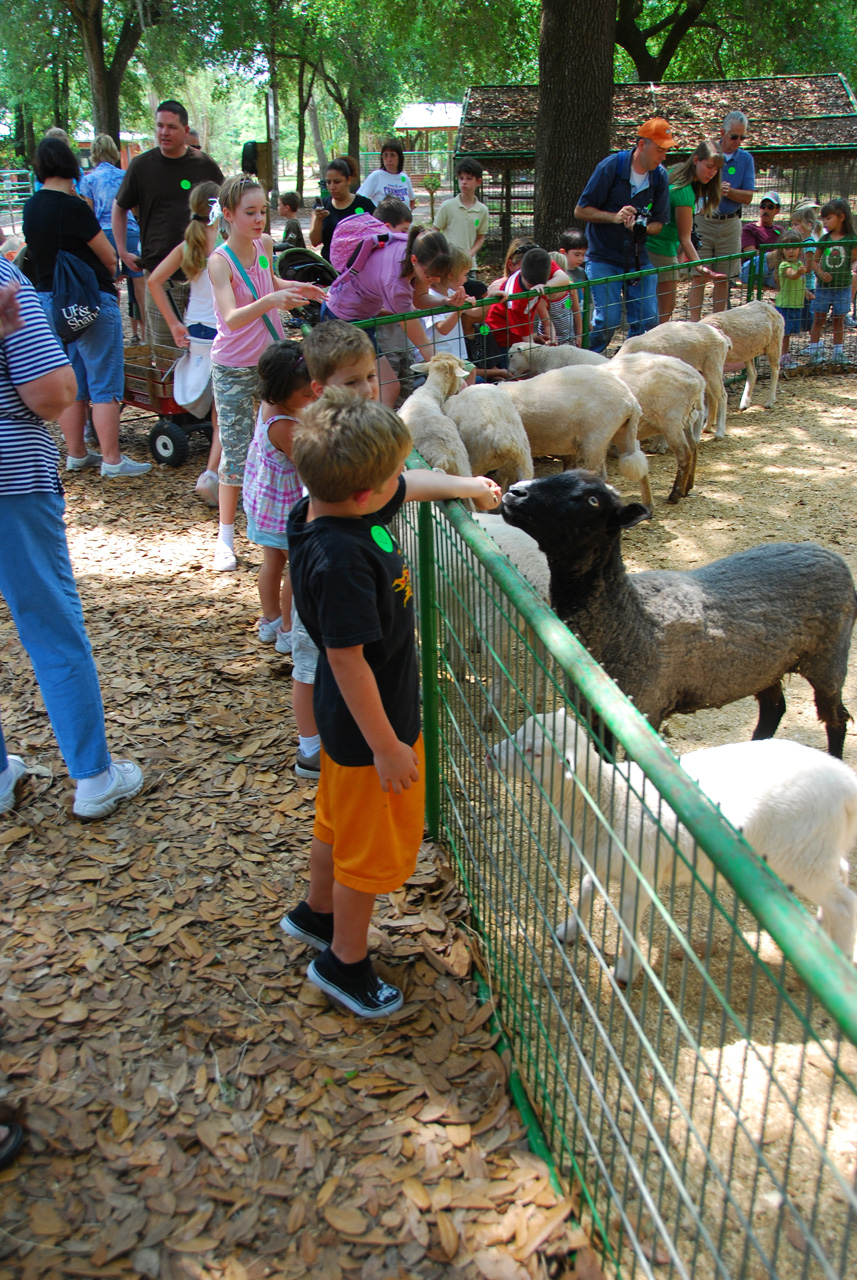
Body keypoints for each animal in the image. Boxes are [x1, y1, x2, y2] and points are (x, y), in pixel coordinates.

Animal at [463, 366, 652, 504]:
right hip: (623, 430)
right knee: (638, 460)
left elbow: (504, 476)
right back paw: (648, 506)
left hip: (596, 437)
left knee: (599, 474)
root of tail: (630, 400)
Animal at [493, 706, 857, 983]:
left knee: (844, 902)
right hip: (820, 847)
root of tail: (845, 782)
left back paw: (837, 959)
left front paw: (624, 972)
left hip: (801, 853)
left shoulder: (640, 878)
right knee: (841, 872)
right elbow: (583, 892)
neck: (609, 801)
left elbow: (627, 926)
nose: (490, 755)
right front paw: (566, 930)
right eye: (522, 728)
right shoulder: (601, 862)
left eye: (535, 752)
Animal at [501, 471, 854, 752]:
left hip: (828, 658)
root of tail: (824, 552)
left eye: (592, 500)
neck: (628, 622)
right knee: (774, 709)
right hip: (767, 665)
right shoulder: (598, 717)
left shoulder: (647, 710)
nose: (514, 492)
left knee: (837, 718)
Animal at [603, 355, 706, 509]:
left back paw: (675, 494)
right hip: (684, 418)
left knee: (684, 453)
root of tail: (697, 379)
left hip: (671, 419)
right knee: (693, 447)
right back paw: (687, 487)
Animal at [706, 296, 787, 432]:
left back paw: (769, 401)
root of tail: (770, 306)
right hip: (748, 352)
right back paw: (744, 403)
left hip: (774, 343)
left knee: (775, 369)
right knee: (753, 373)